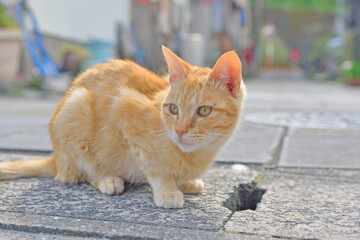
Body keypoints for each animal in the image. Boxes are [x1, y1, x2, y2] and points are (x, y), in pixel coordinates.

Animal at [0, 46, 245, 208]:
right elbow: (155, 168)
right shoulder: (125, 116)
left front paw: (184, 182)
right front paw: (167, 190)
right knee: (84, 171)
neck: (196, 155)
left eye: (204, 111)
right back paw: (107, 179)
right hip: (76, 107)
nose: (179, 131)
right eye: (174, 109)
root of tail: (56, 159)